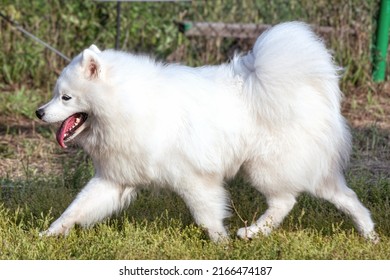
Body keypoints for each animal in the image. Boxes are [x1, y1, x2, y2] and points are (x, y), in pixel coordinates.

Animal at [35, 21, 378, 242]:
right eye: (55, 95)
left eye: (65, 98)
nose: (39, 112)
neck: (129, 104)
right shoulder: (114, 179)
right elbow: (75, 209)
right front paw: (48, 234)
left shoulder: (194, 178)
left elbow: (207, 215)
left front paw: (220, 244)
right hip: (305, 170)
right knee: (345, 196)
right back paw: (369, 234)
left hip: (265, 167)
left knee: (285, 201)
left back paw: (251, 232)